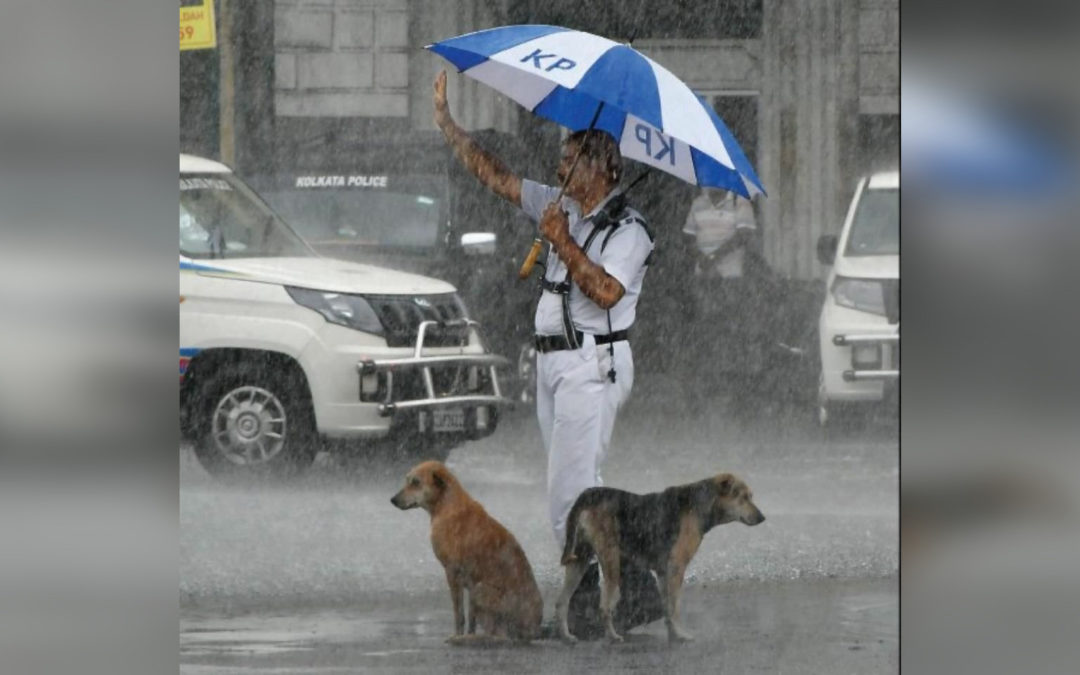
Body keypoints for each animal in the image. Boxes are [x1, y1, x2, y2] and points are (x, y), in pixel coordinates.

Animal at [390, 457, 544, 643]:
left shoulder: (452, 572)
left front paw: (457, 635)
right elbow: (471, 618)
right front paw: (467, 633)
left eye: (416, 482)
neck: (446, 504)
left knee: (500, 635)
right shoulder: (468, 583)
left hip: (480, 590)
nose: (392, 500)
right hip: (476, 591)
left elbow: (459, 614)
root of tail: (533, 630)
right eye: (408, 480)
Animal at [557, 473, 768, 643]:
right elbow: (674, 607)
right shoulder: (676, 568)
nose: (762, 518)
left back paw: (566, 636)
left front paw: (673, 634)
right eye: (743, 497)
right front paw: (681, 635)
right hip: (611, 560)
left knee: (562, 602)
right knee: (604, 607)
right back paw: (613, 636)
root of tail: (589, 494)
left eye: (751, 496)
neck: (701, 504)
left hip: (580, 559)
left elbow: (667, 607)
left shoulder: (663, 572)